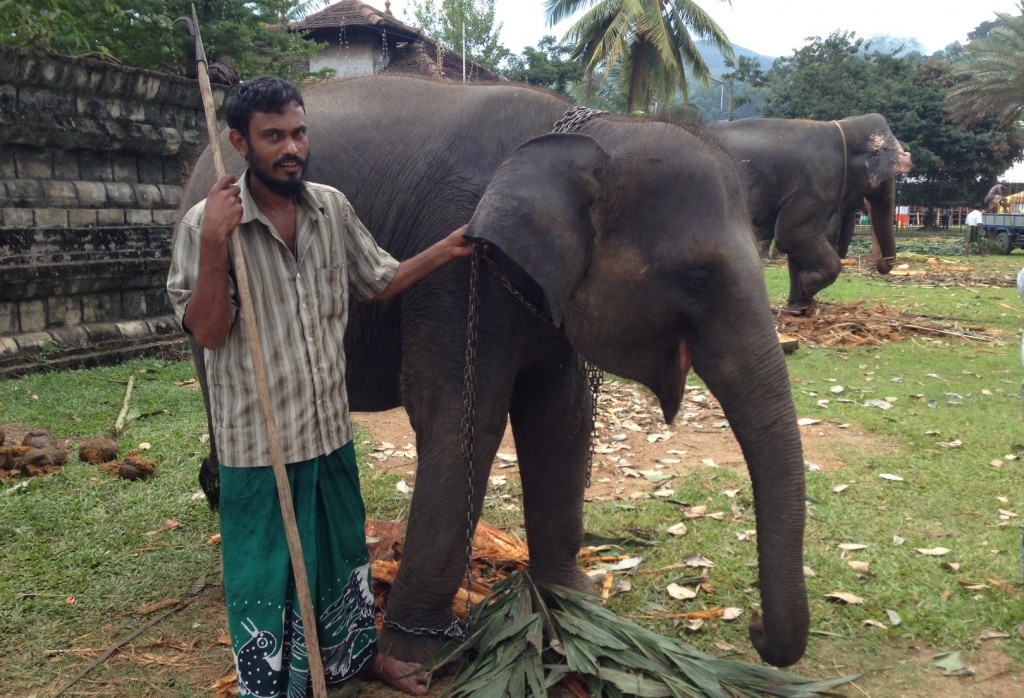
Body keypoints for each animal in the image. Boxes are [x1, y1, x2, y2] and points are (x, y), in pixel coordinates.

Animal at [180, 74, 811, 663]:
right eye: (698, 278)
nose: (756, 628)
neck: (591, 132)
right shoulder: (461, 269)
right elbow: (462, 417)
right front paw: (412, 660)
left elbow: (560, 417)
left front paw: (573, 603)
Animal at [708, 112, 917, 309]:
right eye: (885, 180)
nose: (880, 265)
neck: (845, 127)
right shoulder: (816, 184)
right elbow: (792, 235)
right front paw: (807, 285)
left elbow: (795, 246)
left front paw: (798, 306)